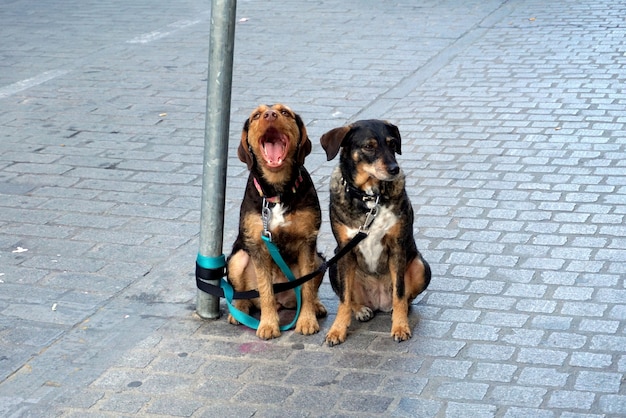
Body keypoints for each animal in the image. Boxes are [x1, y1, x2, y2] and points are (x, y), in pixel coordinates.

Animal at [228, 103, 326, 340]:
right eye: (256, 115)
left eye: (284, 113)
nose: (270, 114)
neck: (277, 192)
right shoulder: (258, 246)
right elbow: (266, 291)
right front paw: (268, 324)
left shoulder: (307, 243)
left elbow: (307, 287)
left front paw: (307, 320)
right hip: (237, 258)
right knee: (242, 291)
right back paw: (239, 309)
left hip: (319, 260)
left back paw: (316, 305)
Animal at [320, 118, 432, 346]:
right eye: (368, 146)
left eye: (392, 144)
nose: (394, 169)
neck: (370, 198)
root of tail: (378, 302)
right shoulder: (345, 251)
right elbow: (344, 298)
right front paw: (337, 330)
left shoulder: (397, 247)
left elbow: (400, 293)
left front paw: (400, 326)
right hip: (334, 264)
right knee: (349, 296)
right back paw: (360, 310)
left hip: (420, 265)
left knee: (404, 298)